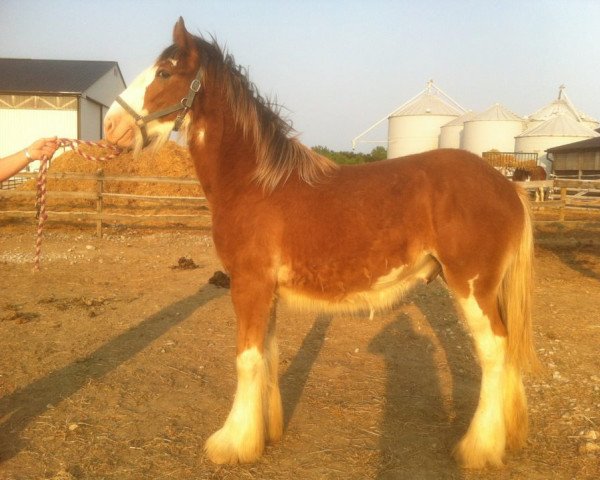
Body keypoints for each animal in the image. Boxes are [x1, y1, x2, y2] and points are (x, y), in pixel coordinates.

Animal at [104, 17, 540, 468]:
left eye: (164, 73)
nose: (111, 126)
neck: (254, 184)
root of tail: (507, 187)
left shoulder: (249, 285)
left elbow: (247, 360)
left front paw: (232, 442)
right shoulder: (266, 292)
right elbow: (268, 355)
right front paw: (265, 433)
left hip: (472, 286)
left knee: (494, 351)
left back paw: (479, 447)